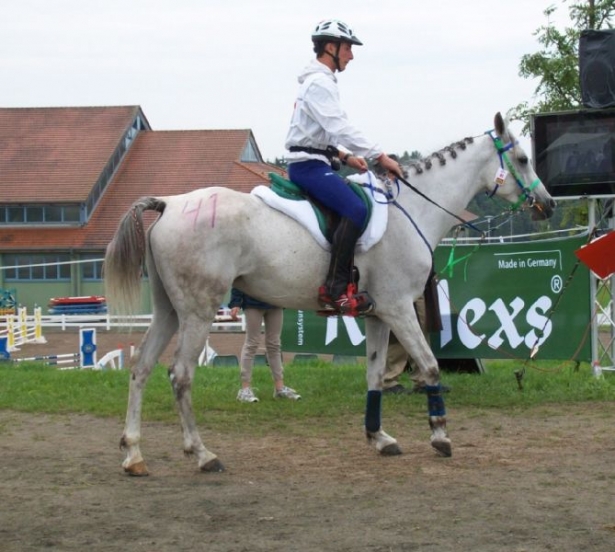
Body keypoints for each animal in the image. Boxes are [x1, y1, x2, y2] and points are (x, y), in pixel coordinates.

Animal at [106, 112, 560, 474]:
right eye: (522, 159)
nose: (548, 204)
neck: (411, 211)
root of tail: (169, 204)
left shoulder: (378, 315)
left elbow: (374, 375)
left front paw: (379, 437)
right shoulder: (400, 309)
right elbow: (430, 367)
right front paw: (440, 436)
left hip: (170, 311)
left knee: (141, 368)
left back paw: (133, 454)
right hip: (198, 313)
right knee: (180, 375)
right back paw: (202, 454)